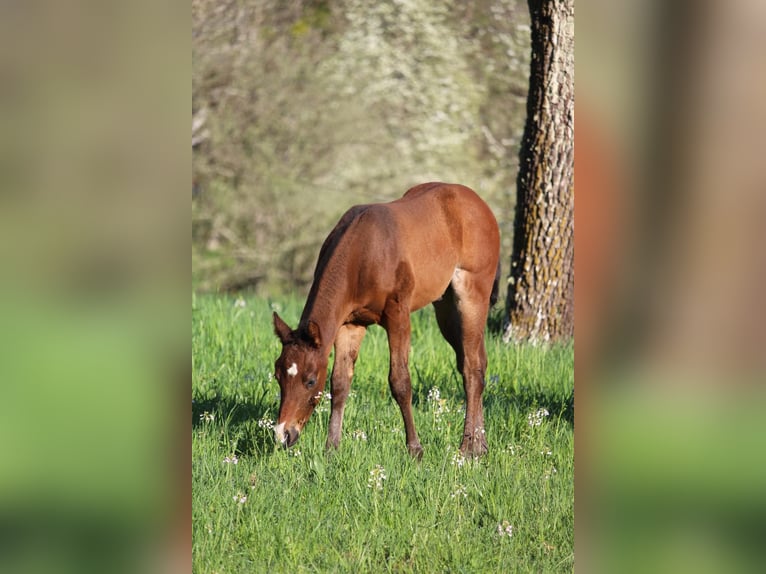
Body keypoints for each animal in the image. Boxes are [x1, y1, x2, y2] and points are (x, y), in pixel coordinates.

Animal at [272, 182, 501, 458]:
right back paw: (481, 444)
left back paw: (467, 448)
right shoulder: (350, 324)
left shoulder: (398, 317)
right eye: (278, 376)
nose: (283, 435)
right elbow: (340, 383)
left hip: (472, 296)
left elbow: (400, 382)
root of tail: (480, 204)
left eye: (310, 380)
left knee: (471, 368)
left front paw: (415, 449)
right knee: (477, 362)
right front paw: (332, 448)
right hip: (446, 308)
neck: (363, 250)